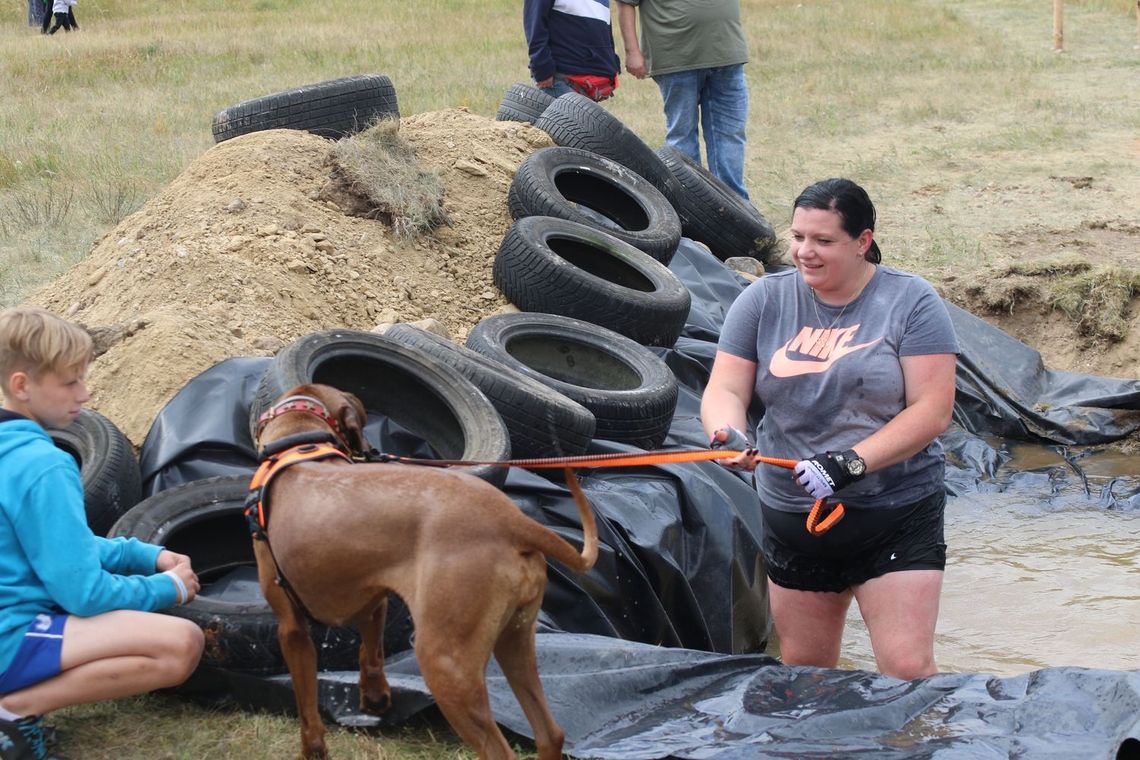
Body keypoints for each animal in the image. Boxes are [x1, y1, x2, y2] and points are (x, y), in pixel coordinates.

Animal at [250, 382, 601, 756]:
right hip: (516, 640)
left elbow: (307, 705)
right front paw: (375, 697)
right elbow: (370, 653)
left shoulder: (291, 626)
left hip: (445, 663)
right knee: (550, 733)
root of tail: (514, 522)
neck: (300, 441)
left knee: (498, 749)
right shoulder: (374, 603)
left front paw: (314, 749)